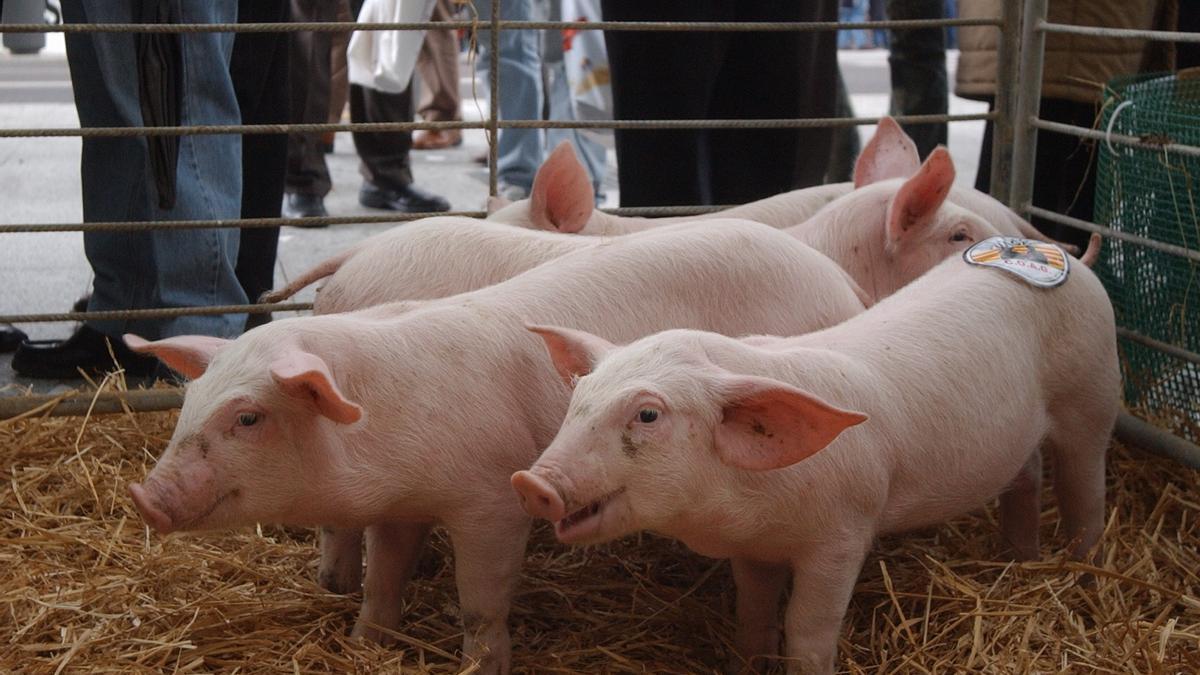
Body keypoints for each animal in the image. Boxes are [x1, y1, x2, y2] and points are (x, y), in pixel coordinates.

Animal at [124, 222, 873, 672]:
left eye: (248, 417)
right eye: (190, 402)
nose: (143, 496)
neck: (389, 418)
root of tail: (840, 280)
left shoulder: (489, 502)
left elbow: (481, 598)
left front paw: (480, 662)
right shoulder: (400, 506)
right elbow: (385, 574)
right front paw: (367, 642)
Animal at [516, 243, 1123, 667]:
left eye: (647, 415)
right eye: (578, 397)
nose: (531, 482)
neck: (749, 510)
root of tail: (1063, 254)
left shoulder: (843, 533)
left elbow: (807, 629)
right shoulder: (753, 549)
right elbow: (754, 614)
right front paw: (746, 661)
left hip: (1092, 393)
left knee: (1085, 488)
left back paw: (1083, 569)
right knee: (1028, 478)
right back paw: (1020, 558)